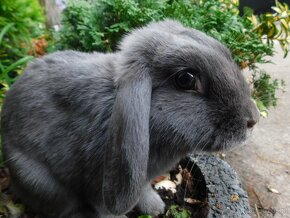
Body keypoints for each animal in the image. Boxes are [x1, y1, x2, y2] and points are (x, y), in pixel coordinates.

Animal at [1, 19, 260, 217]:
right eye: (186, 79)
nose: (253, 120)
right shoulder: (99, 186)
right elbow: (104, 209)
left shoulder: (142, 179)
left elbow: (143, 191)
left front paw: (156, 208)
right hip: (43, 184)